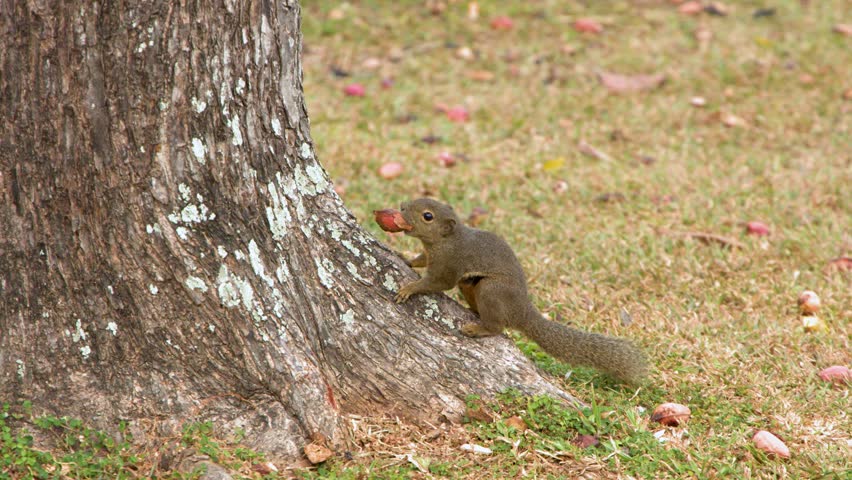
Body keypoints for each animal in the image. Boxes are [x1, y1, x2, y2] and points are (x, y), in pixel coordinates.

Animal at [375, 198, 648, 384]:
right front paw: (406, 259)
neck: (446, 241)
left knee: (497, 326)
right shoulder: (431, 255)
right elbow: (420, 260)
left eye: (427, 216)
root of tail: (522, 311)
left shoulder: (451, 263)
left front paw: (410, 288)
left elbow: (438, 282)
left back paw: (477, 328)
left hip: (491, 290)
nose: (401, 206)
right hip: (472, 286)